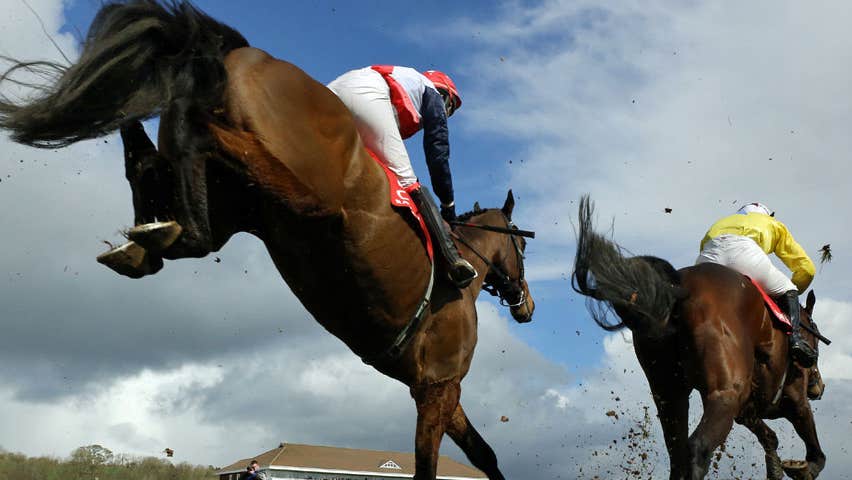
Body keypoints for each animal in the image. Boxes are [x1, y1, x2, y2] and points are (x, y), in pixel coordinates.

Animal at [0, 2, 535, 479]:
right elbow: (432, 465)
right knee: (197, 130)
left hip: (238, 204)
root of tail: (247, 54)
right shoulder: (437, 386)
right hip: (310, 194)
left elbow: (486, 455)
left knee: (169, 191)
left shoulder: (440, 389)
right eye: (523, 247)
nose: (527, 305)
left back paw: (142, 230)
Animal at [571, 196, 824, 480]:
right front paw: (805, 468)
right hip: (723, 394)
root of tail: (678, 291)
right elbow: (814, 448)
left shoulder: (746, 408)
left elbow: (769, 437)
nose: (818, 387)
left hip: (669, 394)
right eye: (815, 336)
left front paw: (776, 467)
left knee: (678, 453)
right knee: (697, 449)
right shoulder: (794, 400)